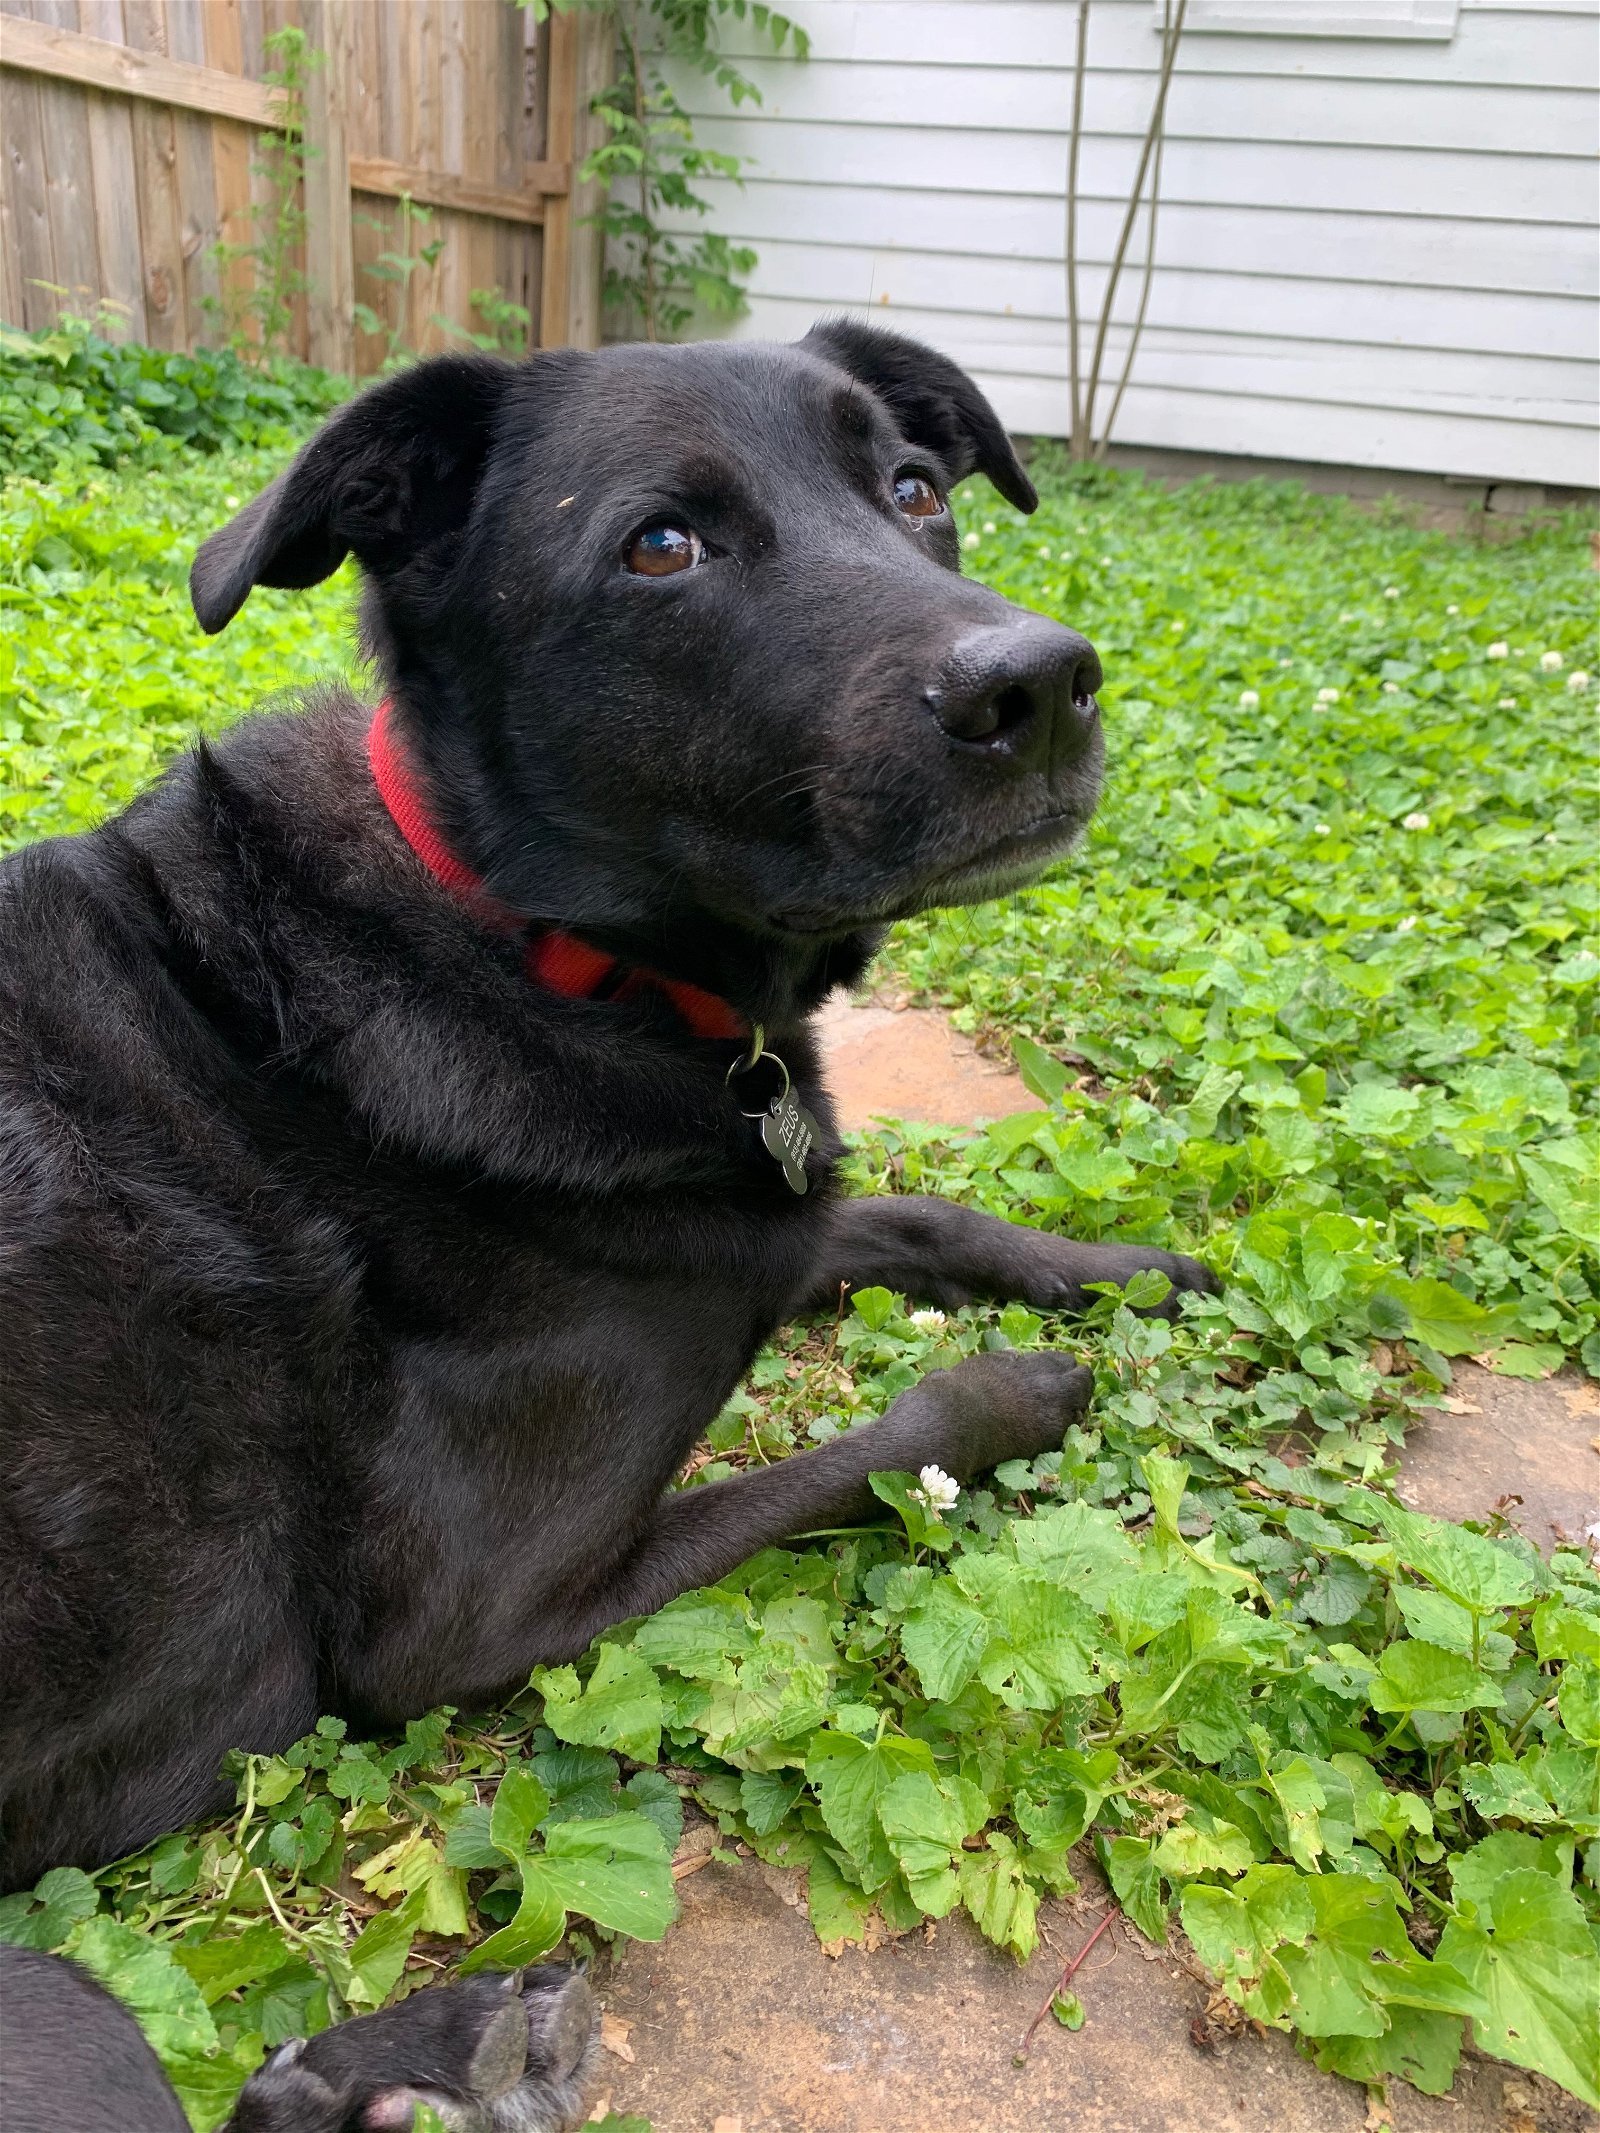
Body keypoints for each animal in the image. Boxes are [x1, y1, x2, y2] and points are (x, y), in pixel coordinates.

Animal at [0, 315, 1203, 2115]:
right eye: (661, 547)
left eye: (918, 489)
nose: (1045, 683)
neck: (529, 943)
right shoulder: (481, 1617)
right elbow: (870, 1446)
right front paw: (1021, 1390)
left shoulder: (745, 1222)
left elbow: (924, 1213)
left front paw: (1125, 1265)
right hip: (60, 2001)